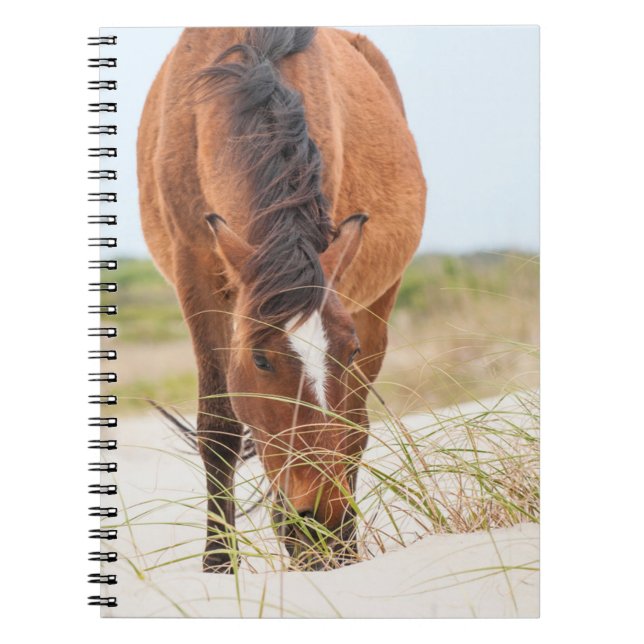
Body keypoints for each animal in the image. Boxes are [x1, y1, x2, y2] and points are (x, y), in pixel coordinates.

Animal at [137, 27, 426, 572]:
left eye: (349, 351)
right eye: (260, 360)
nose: (322, 518)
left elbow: (345, 428)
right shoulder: (196, 272)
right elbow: (220, 429)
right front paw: (218, 564)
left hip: (379, 301)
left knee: (356, 427)